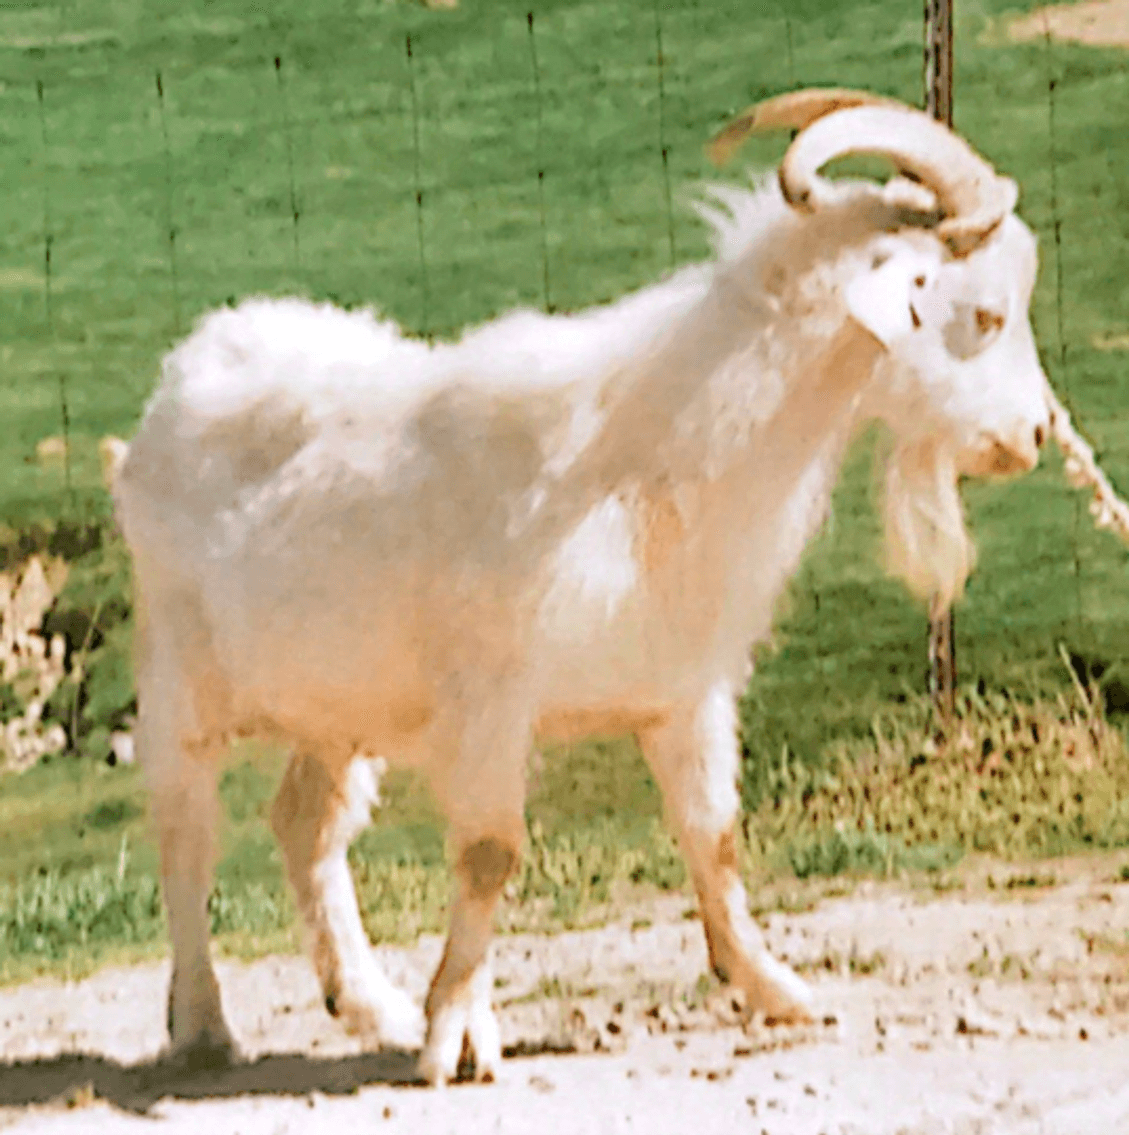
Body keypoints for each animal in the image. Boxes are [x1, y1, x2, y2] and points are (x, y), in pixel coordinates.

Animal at [113, 88, 1053, 1084]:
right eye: (984, 314)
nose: (1033, 433)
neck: (655, 453)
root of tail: (188, 371)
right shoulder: (490, 699)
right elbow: (490, 853)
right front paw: (457, 1034)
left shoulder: (683, 688)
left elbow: (713, 835)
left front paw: (772, 987)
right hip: (178, 676)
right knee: (186, 832)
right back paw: (204, 1024)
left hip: (340, 704)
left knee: (305, 823)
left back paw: (370, 1002)